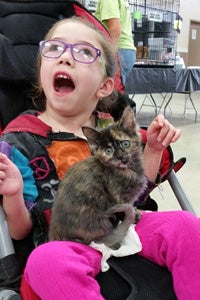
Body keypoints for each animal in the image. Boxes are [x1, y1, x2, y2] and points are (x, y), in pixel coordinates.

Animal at [49, 106, 148, 250]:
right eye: (108, 151)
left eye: (125, 144)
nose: (120, 157)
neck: (129, 169)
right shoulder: (119, 198)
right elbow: (125, 209)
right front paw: (135, 215)